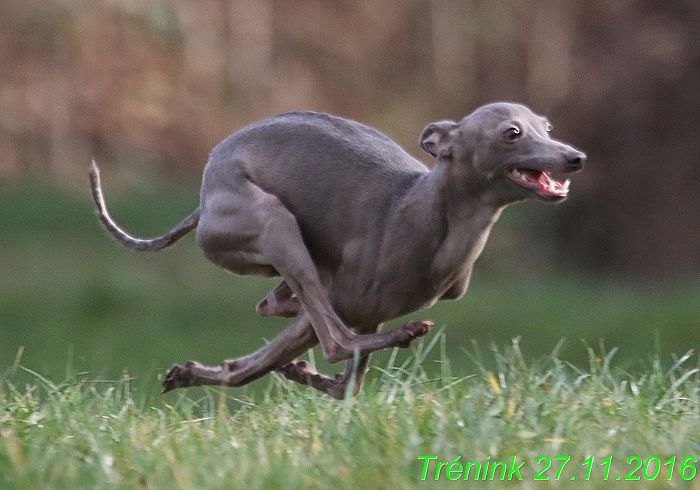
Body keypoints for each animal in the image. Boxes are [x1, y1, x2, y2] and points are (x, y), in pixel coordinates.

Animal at [91, 102, 584, 398]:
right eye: (512, 132)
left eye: (547, 128)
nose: (575, 157)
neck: (432, 212)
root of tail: (203, 200)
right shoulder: (348, 301)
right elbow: (313, 351)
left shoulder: (366, 308)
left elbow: (319, 376)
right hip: (272, 222)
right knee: (333, 338)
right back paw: (398, 336)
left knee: (276, 306)